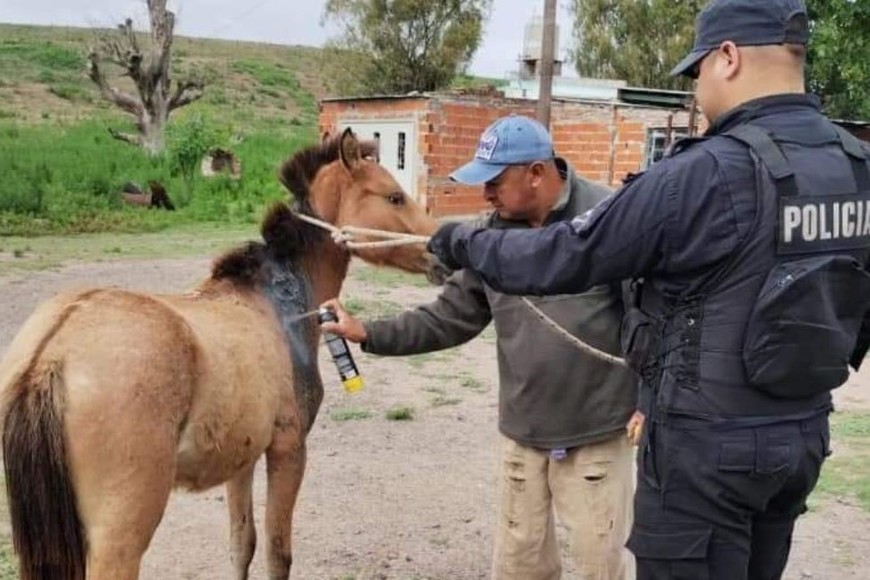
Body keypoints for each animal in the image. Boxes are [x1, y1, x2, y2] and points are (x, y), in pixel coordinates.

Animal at [1, 128, 442, 580]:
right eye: (394, 197)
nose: (438, 250)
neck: (279, 303)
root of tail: (50, 355)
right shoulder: (288, 450)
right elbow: (277, 553)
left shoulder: (241, 458)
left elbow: (241, 544)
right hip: (120, 536)